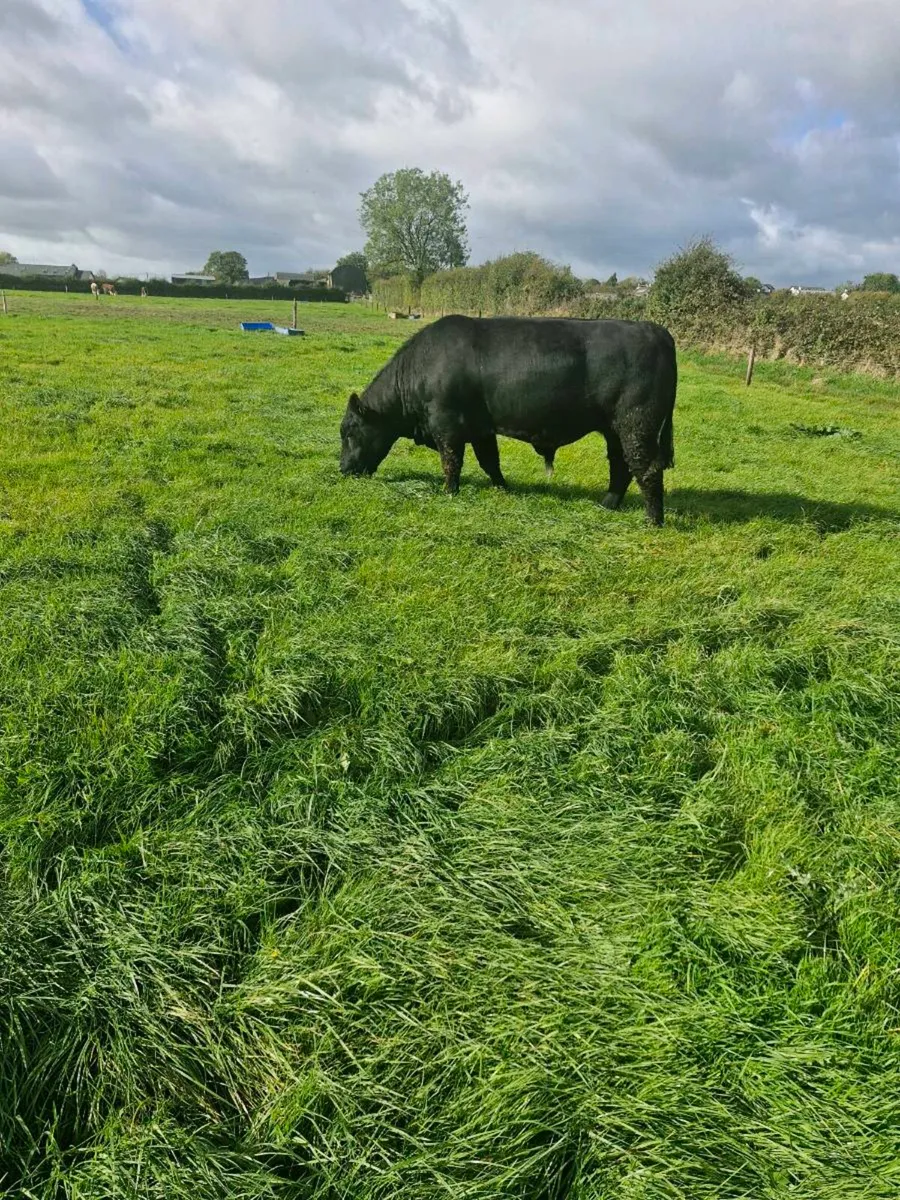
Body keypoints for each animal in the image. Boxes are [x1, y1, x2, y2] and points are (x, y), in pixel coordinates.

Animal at [339, 314, 677, 525]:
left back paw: (652, 521)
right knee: (621, 465)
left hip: (637, 425)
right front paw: (503, 488)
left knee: (646, 469)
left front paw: (449, 492)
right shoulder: (480, 428)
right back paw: (607, 505)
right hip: (614, 430)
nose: (342, 469)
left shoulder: (446, 426)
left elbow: (451, 462)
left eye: (350, 432)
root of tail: (655, 330)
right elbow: (490, 461)